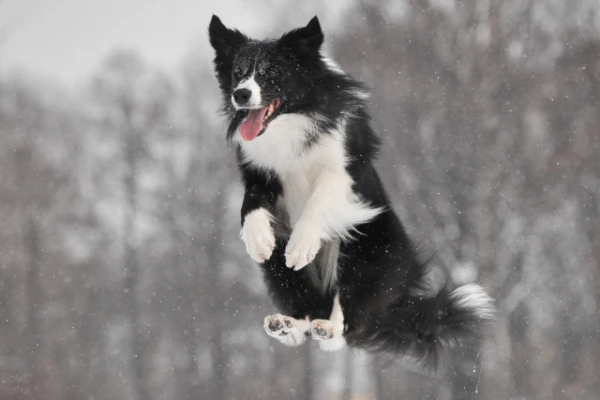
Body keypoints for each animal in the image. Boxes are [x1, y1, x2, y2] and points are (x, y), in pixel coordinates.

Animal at [209, 15, 494, 364]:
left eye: (272, 72)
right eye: (238, 72)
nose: (241, 94)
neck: (291, 123)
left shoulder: (343, 171)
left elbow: (317, 201)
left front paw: (301, 246)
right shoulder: (259, 173)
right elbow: (249, 204)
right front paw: (258, 238)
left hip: (366, 247)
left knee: (348, 324)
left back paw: (329, 327)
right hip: (282, 273)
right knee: (308, 310)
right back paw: (287, 324)